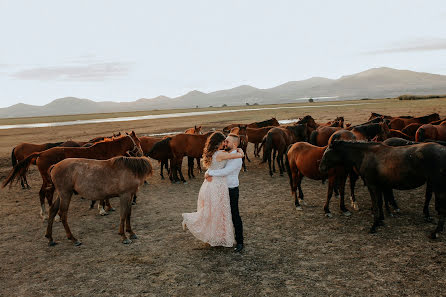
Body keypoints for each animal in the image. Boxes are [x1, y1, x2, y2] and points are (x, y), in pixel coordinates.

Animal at [0, 131, 142, 219]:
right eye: (138, 141)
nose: (140, 153)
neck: (106, 151)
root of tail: (40, 154)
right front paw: (102, 209)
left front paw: (104, 207)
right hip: (49, 180)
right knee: (45, 193)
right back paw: (50, 215)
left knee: (43, 193)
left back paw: (46, 214)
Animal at [318, 140, 446, 237]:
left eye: (327, 153)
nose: (321, 168)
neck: (366, 155)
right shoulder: (379, 185)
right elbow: (379, 203)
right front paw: (380, 221)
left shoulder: (372, 185)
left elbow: (375, 205)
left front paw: (374, 225)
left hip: (438, 186)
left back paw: (435, 232)